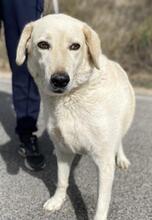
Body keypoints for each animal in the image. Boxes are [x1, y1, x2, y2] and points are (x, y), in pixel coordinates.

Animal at [16, 14, 135, 220]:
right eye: (43, 45)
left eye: (75, 46)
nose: (60, 80)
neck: (71, 98)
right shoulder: (64, 151)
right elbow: (62, 181)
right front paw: (57, 201)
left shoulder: (104, 162)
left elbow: (102, 203)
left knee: (119, 141)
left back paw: (121, 158)